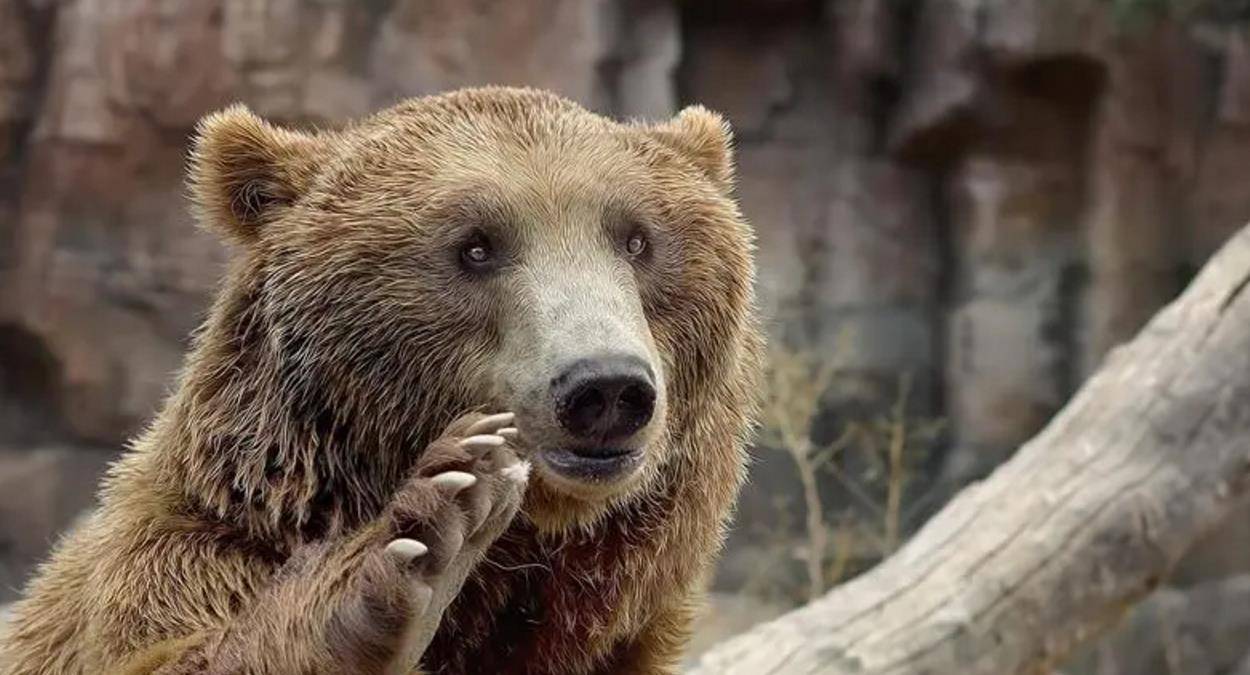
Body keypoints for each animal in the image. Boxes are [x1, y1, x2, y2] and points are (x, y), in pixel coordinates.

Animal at [0, 86, 762, 674]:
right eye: (475, 246)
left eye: (636, 239)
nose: (603, 388)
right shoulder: (178, 561)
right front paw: (428, 536)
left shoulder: (621, 637)